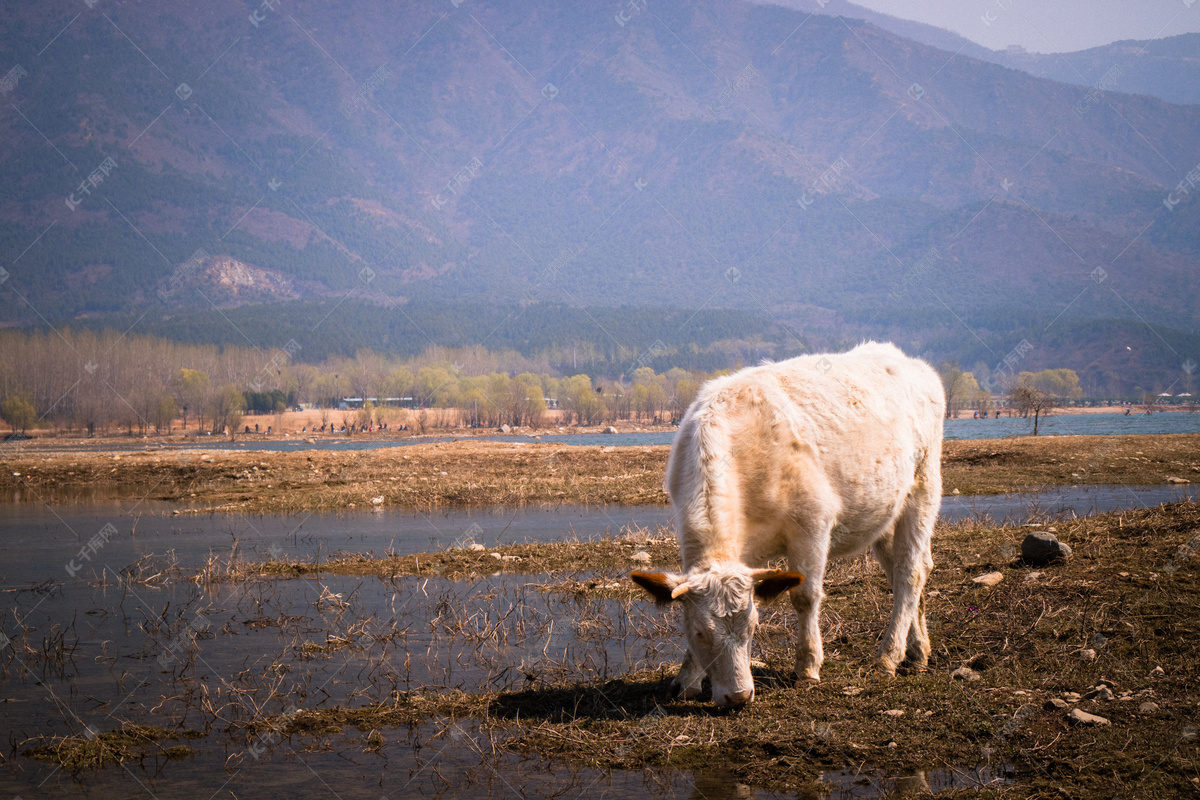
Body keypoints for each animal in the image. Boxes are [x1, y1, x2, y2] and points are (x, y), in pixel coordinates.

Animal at [633, 343, 940, 705]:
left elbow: (805, 596)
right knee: (905, 572)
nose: (738, 696)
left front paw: (807, 667)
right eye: (698, 633)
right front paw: (687, 679)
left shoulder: (813, 523)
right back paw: (917, 652)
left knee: (910, 573)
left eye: (753, 627)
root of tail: (902, 358)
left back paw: (888, 657)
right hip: (885, 513)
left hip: (923, 490)